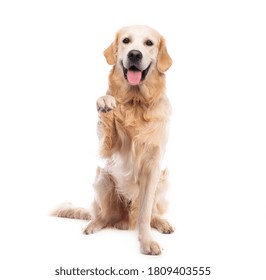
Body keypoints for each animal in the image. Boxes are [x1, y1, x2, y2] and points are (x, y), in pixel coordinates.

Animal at [54, 25, 175, 255]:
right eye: (126, 40)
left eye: (149, 43)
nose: (134, 54)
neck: (136, 101)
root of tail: (124, 220)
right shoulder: (107, 148)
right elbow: (106, 116)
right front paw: (105, 101)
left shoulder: (153, 165)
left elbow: (145, 212)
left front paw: (147, 241)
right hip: (103, 177)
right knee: (105, 216)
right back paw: (94, 224)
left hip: (164, 179)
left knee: (150, 213)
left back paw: (161, 223)